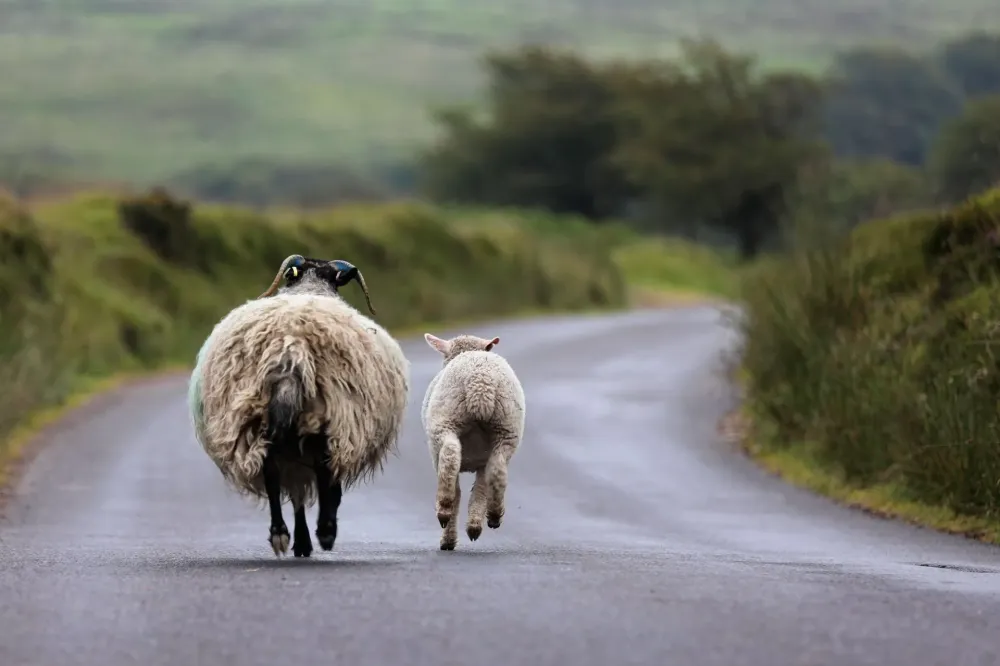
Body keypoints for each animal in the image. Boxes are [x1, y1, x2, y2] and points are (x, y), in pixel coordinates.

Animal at [188, 254, 410, 557]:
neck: (311, 285)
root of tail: (290, 349)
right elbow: (326, 489)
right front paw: (317, 534)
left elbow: (296, 496)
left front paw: (301, 541)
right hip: (328, 418)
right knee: (325, 476)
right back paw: (325, 531)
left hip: (259, 422)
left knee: (271, 474)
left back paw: (280, 533)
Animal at [420, 332, 526, 550]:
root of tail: (480, 381)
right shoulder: (482, 461)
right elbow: (480, 488)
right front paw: (473, 526)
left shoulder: (436, 456)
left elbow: (459, 492)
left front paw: (448, 538)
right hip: (506, 429)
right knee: (497, 470)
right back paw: (492, 516)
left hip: (446, 420)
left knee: (450, 456)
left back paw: (444, 509)